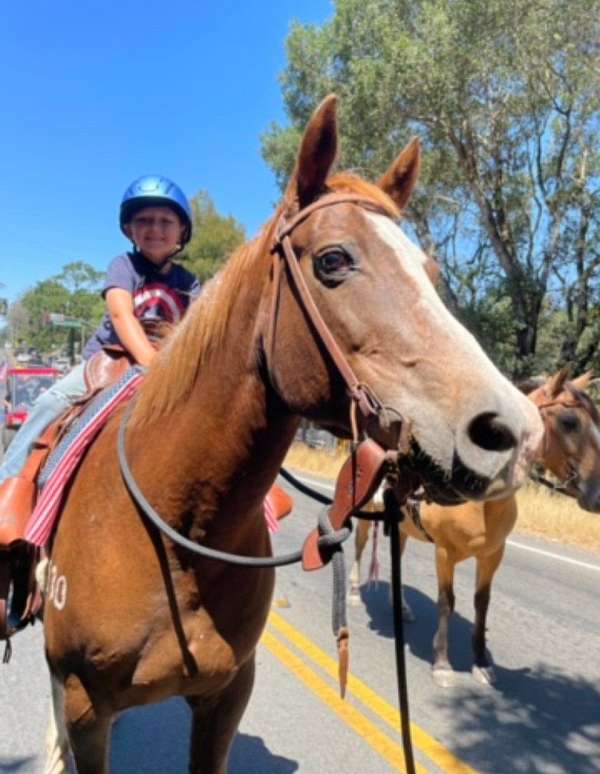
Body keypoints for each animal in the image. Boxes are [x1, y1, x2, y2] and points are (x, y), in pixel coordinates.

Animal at [42, 97, 544, 774]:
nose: (512, 431)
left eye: (430, 270)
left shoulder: (227, 696)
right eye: (333, 260)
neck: (174, 536)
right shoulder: (84, 707)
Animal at [352, 372, 600, 688]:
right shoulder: (445, 553)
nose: (598, 493)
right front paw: (442, 664)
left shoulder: (492, 555)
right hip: (366, 515)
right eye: (570, 422)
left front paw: (481, 662)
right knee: (359, 547)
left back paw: (403, 608)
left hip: (404, 528)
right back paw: (353, 594)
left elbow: (482, 603)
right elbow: (447, 601)